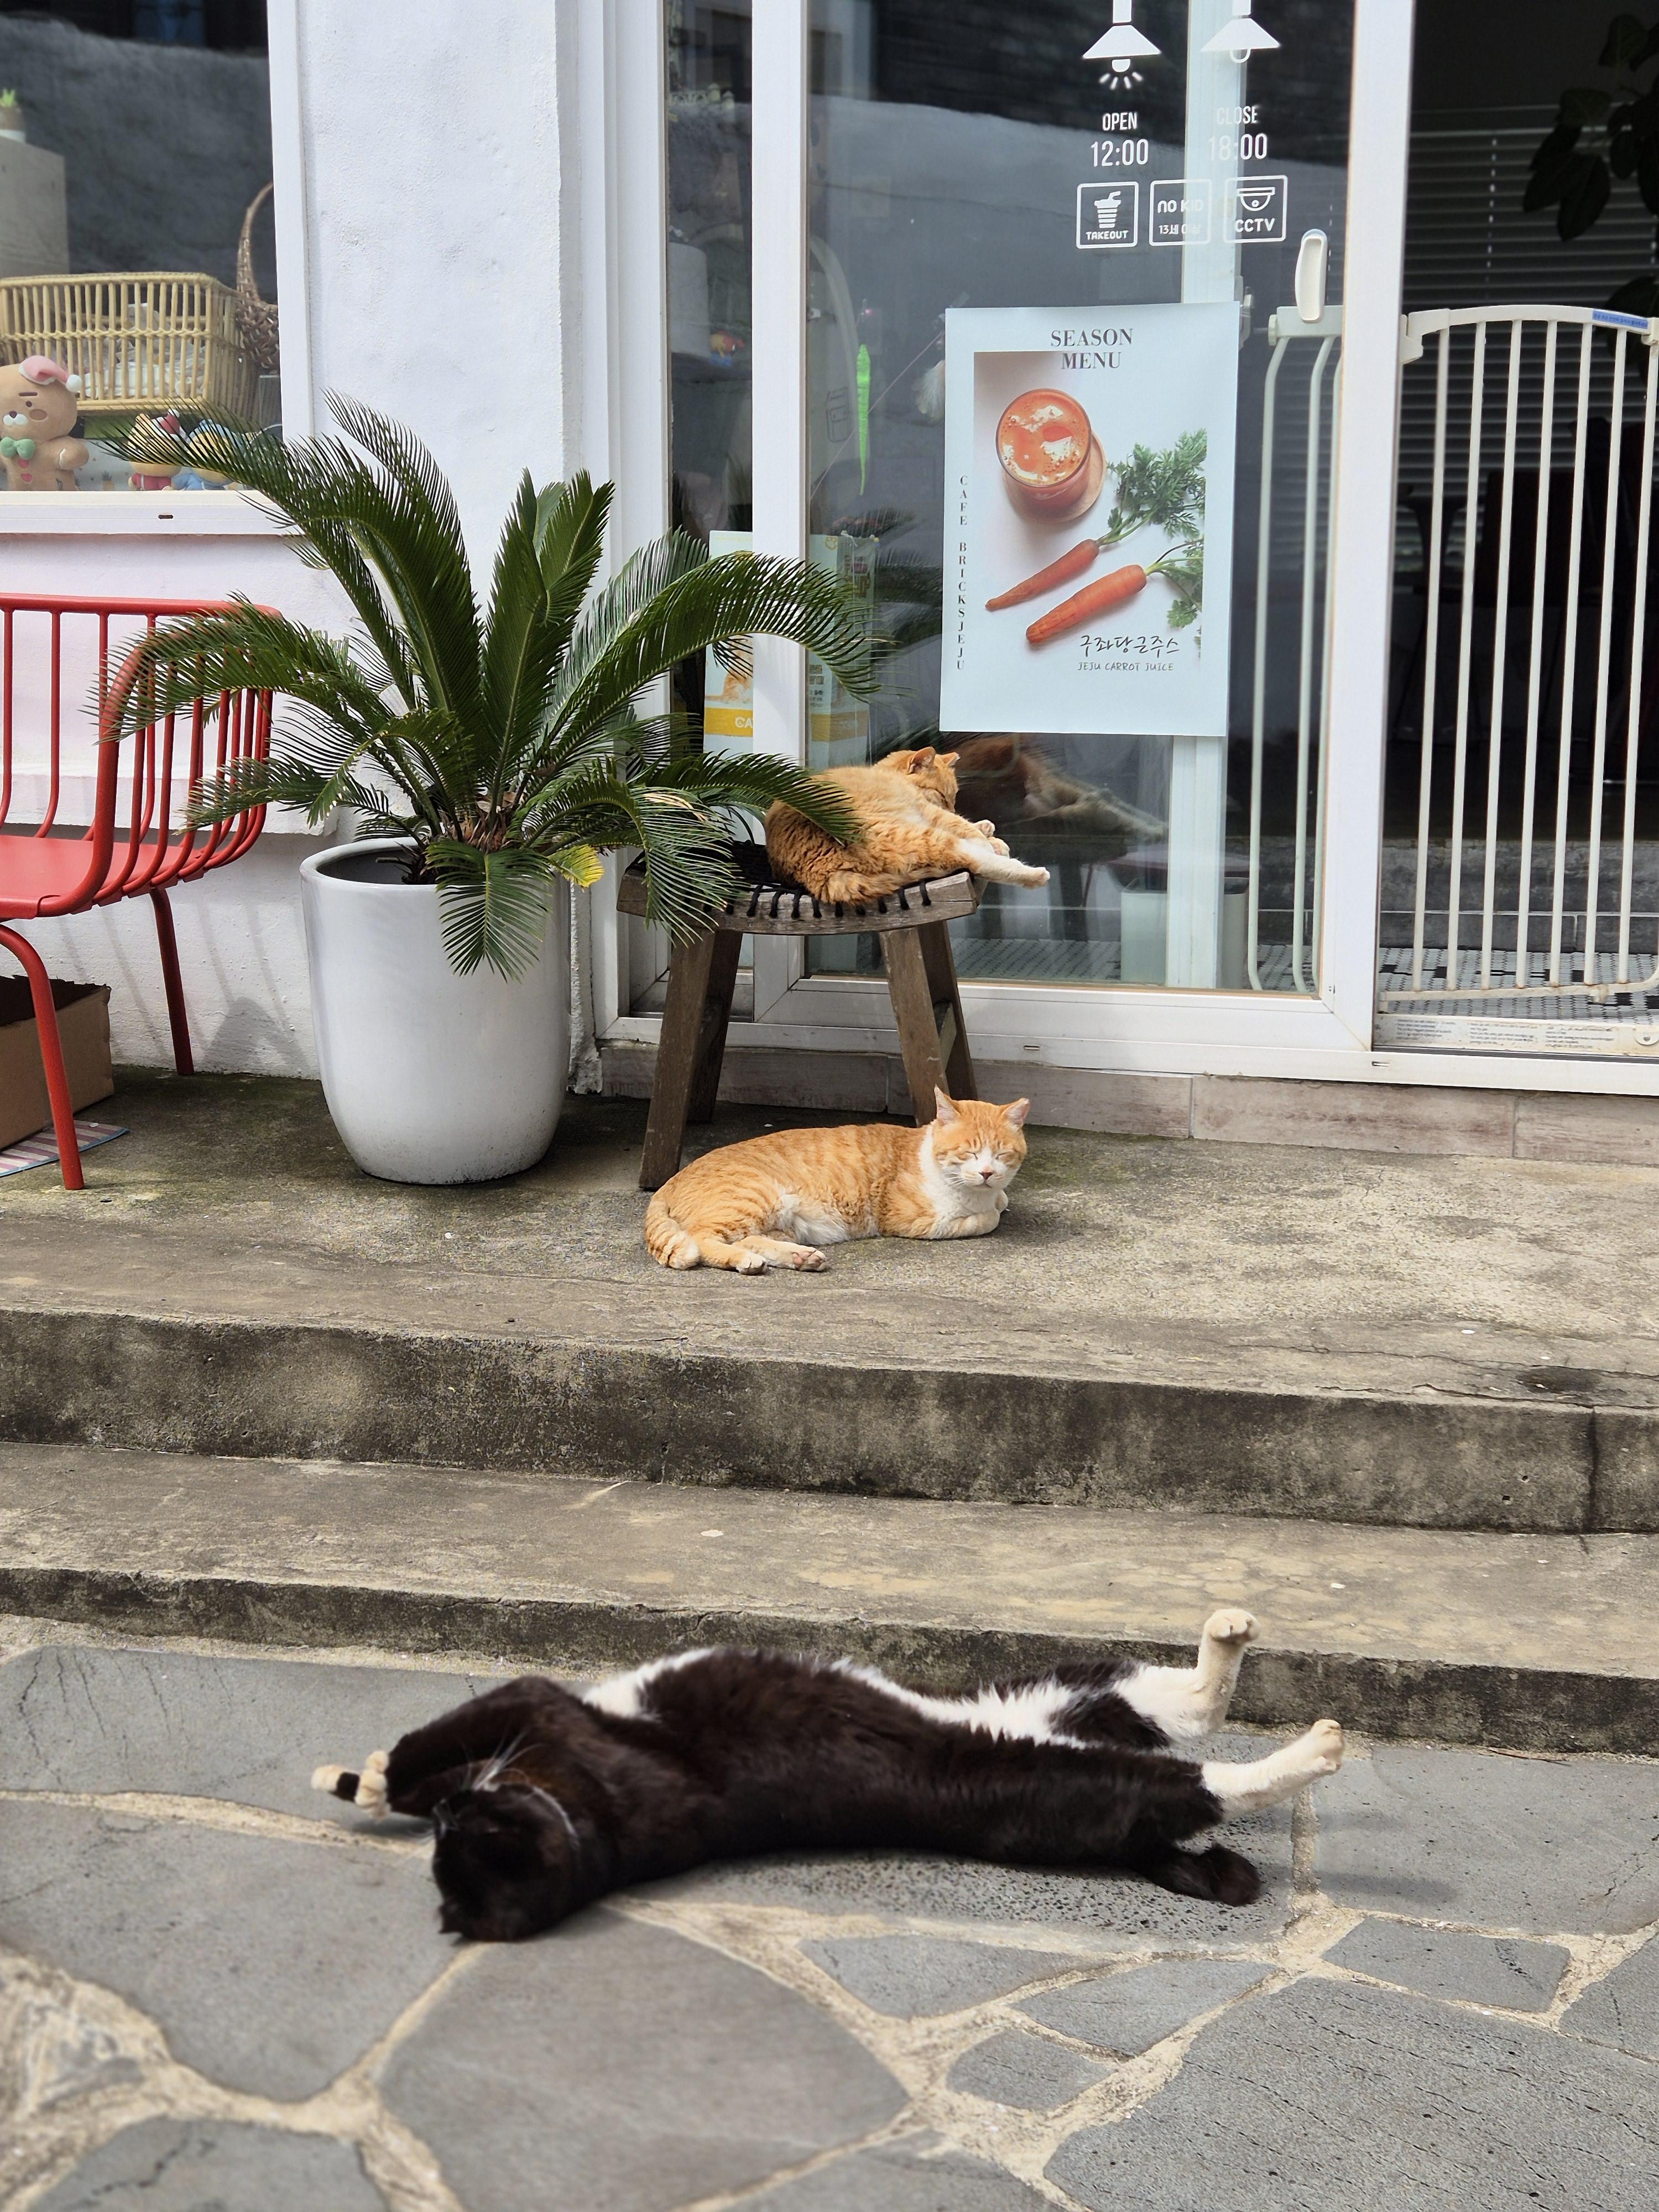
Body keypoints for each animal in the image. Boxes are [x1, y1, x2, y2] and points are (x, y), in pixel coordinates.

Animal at [312, 1609, 1344, 1943]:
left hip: (1060, 1689)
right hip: (1057, 1764)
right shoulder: (538, 1720)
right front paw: (386, 1781)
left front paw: (366, 1778)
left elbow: (429, 1744)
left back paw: (1232, 1640)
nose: (458, 1809)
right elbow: (439, 1747)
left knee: (1182, 1703)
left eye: (465, 1833)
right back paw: (1317, 1747)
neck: (591, 1827)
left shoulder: (533, 1712)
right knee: (1196, 1770)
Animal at [644, 1088, 1028, 1272]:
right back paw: (748, 1261)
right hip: (754, 1198)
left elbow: (1003, 1200)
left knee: (751, 1239)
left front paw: (999, 1196)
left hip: (777, 1221)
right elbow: (987, 1219)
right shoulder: (914, 1219)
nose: (987, 1173)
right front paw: (989, 1211)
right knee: (704, 1238)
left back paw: (800, 1258)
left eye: (1001, 1155)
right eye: (969, 1153)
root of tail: (670, 1180)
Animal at [764, 745, 1051, 905]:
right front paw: (988, 836)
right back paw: (1034, 874)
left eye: (954, 798)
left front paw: (987, 829)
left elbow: (970, 826)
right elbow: (963, 826)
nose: (951, 807)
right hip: (918, 835)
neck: (887, 774)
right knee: (976, 859)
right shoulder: (928, 812)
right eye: (943, 796)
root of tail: (818, 873)